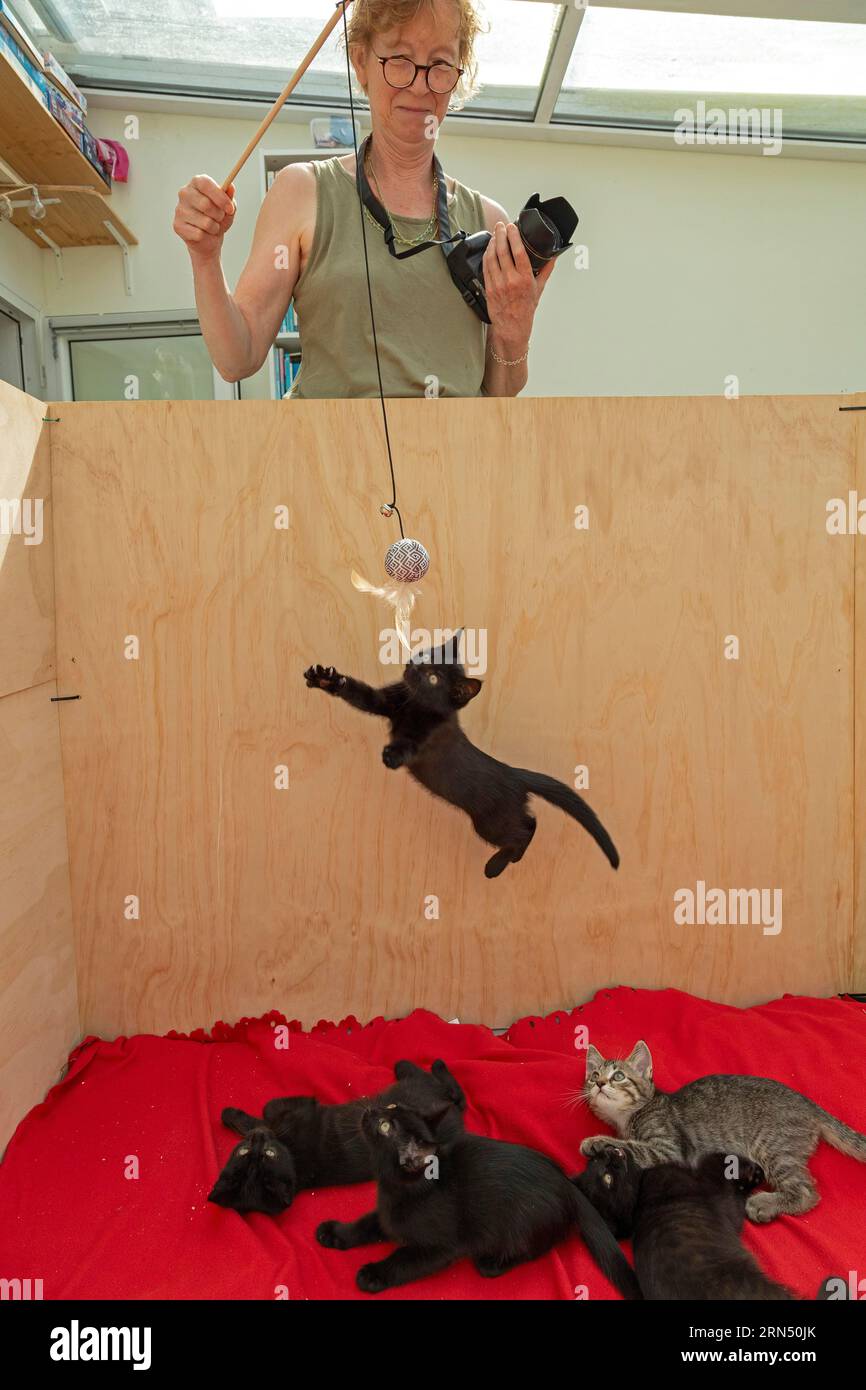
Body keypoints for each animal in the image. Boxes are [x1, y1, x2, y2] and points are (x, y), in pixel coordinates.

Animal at [208, 1061, 467, 1217]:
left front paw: (232, 1116)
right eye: (245, 1153)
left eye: (269, 1153)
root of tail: (453, 1116)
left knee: (440, 1083)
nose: (259, 1139)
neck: (293, 1156)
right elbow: (264, 1117)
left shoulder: (302, 1107)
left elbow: (266, 1109)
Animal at [301, 631, 619, 878]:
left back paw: (497, 865)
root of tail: (513, 774)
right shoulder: (387, 699)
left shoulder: (429, 737)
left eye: (432, 677)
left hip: (489, 822)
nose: (413, 663)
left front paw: (392, 755)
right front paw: (326, 680)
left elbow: (410, 744)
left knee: (527, 828)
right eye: (424, 654)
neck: (414, 704)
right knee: (529, 821)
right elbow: (361, 694)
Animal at [315, 1095, 639, 1301]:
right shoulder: (387, 1215)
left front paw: (374, 1274)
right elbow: (365, 1224)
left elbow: (403, 1259)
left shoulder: (441, 1247)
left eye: (385, 1127)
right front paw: (335, 1233)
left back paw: (493, 1263)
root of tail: (567, 1184)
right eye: (392, 1106)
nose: (371, 1110)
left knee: (540, 1245)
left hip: (520, 1223)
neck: (401, 1188)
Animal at [575, 1039, 866, 1223]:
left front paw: (595, 1142)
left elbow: (631, 1147)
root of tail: (808, 1103)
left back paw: (765, 1204)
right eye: (594, 1075)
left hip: (773, 1147)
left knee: (806, 1191)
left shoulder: (668, 1148)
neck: (629, 1116)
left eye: (618, 1076)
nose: (599, 1083)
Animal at [578, 1145, 795, 1295]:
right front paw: (753, 1173)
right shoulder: (717, 1195)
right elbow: (718, 1159)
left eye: (596, 1159)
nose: (606, 1151)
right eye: (608, 1178)